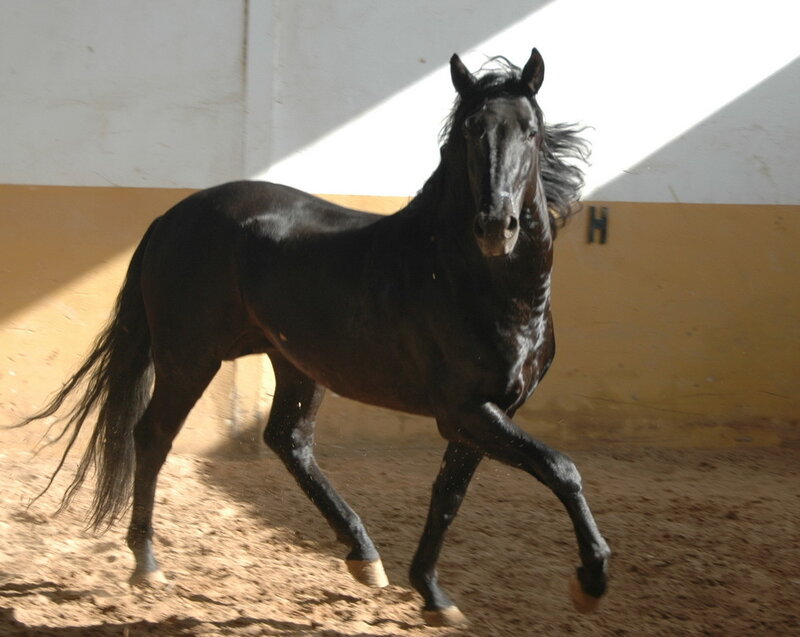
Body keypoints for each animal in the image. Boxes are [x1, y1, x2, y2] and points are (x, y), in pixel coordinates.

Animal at [15, 48, 610, 626]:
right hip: (190, 358)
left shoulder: (488, 414)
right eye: (470, 129)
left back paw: (364, 557)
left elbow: (449, 495)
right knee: (154, 436)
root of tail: (173, 215)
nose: (495, 226)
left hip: (296, 365)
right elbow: (562, 469)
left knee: (288, 441)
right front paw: (591, 581)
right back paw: (146, 563)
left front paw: (433, 594)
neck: (478, 286)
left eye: (529, 130)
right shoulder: (465, 410)